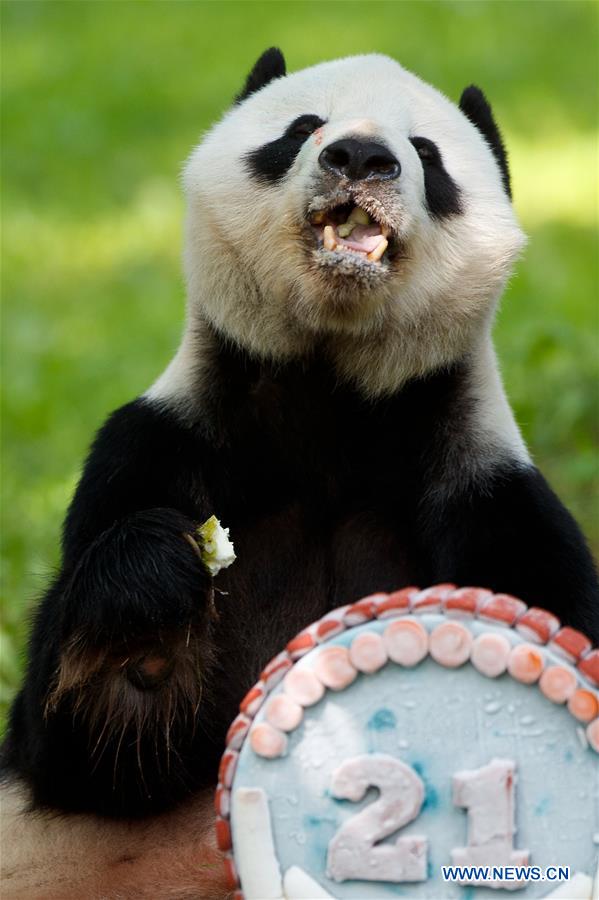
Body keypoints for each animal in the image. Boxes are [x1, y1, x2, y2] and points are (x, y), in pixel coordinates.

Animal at [3, 49, 599, 844]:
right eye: (302, 127)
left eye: (427, 153)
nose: (360, 157)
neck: (331, 395)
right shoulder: (156, 448)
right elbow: (92, 750)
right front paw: (149, 608)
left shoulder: (492, 494)